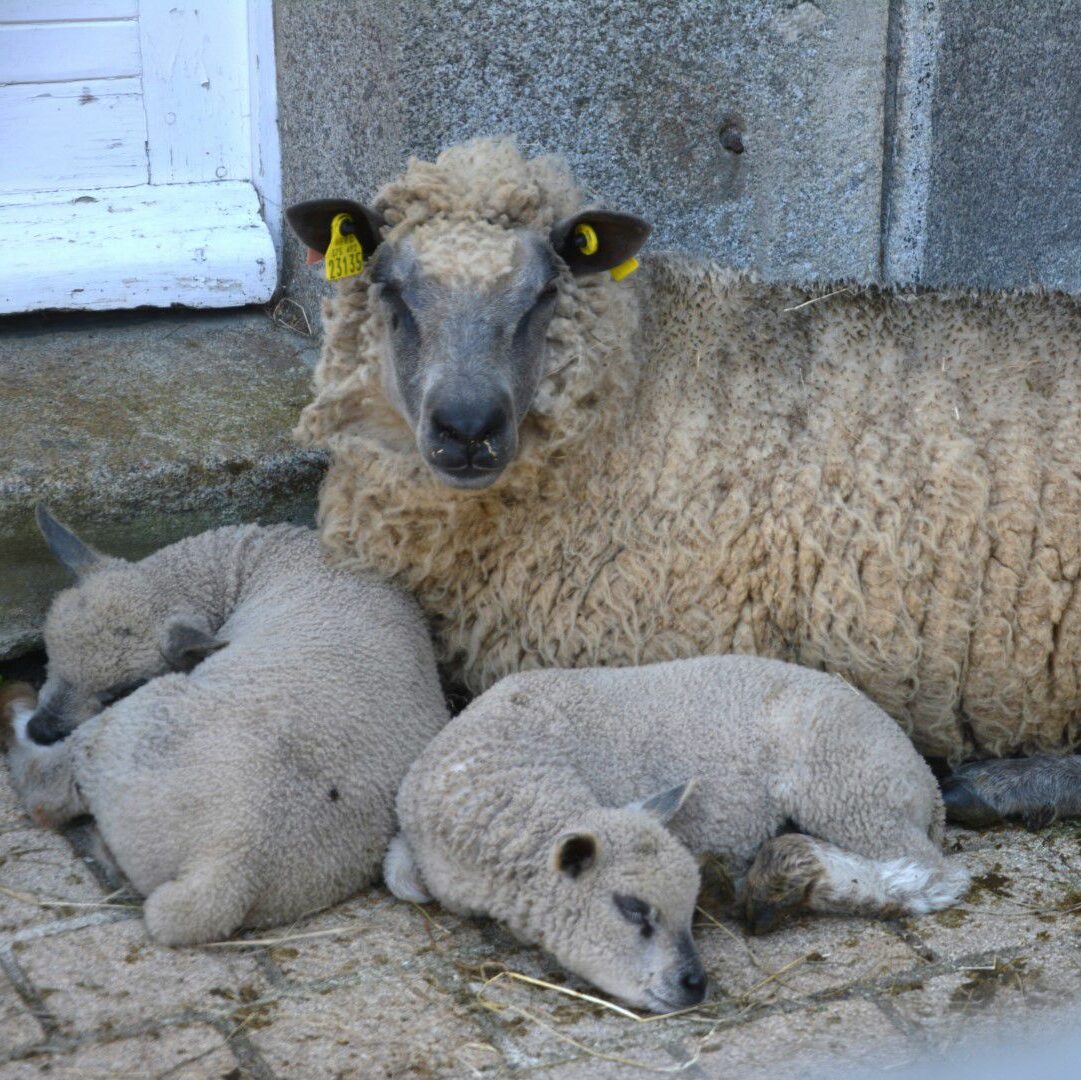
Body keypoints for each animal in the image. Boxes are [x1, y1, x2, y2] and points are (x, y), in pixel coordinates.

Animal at [2, 510, 445, 942]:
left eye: (121, 688)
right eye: (49, 652)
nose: (42, 729)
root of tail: (228, 870)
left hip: (129, 730)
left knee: (44, 792)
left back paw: (15, 708)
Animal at [389, 652, 972, 1016]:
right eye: (633, 910)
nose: (695, 985)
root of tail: (927, 784)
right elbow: (399, 876)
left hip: (849, 782)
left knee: (927, 875)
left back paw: (782, 881)